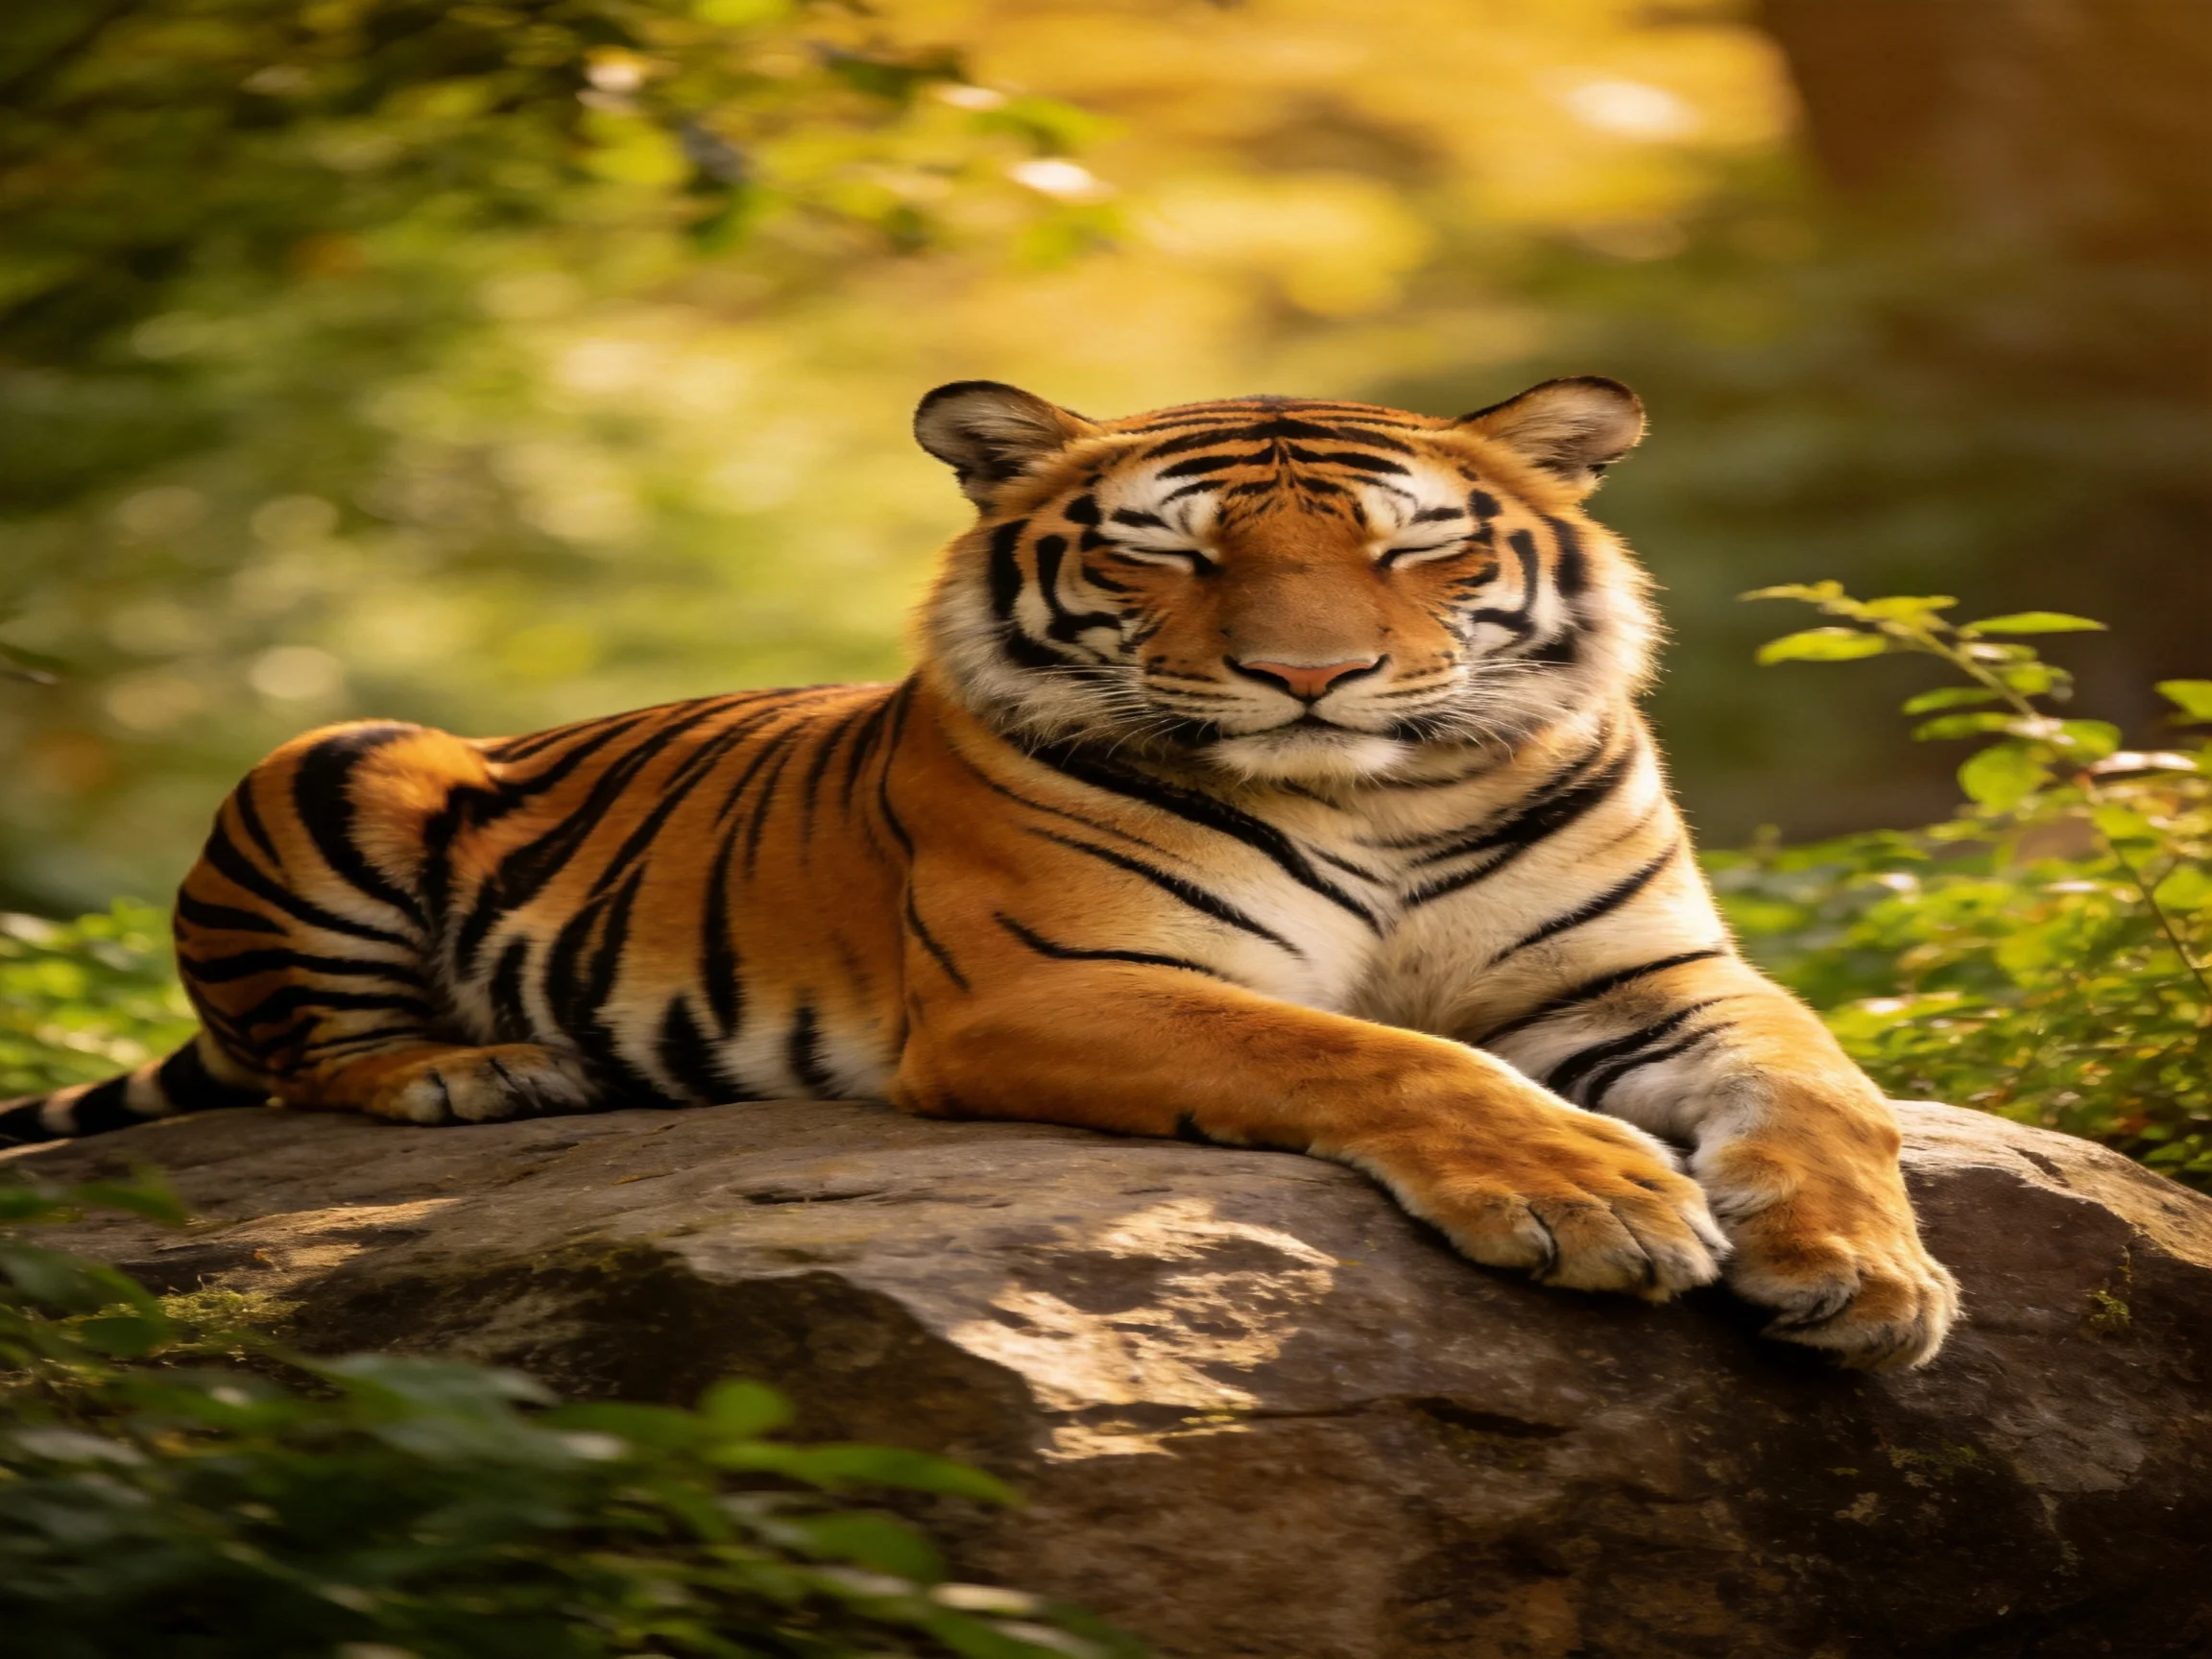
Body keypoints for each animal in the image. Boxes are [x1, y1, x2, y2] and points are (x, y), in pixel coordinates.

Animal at [0, 377, 1960, 1369]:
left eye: (1415, 550)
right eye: (1170, 554)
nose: (1309, 675)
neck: (1378, 798)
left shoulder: (1647, 976)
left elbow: (1819, 1089)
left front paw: (1865, 1273)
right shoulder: (1059, 983)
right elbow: (1373, 1052)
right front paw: (1592, 1197)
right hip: (338, 752)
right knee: (300, 1051)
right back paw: (473, 1069)